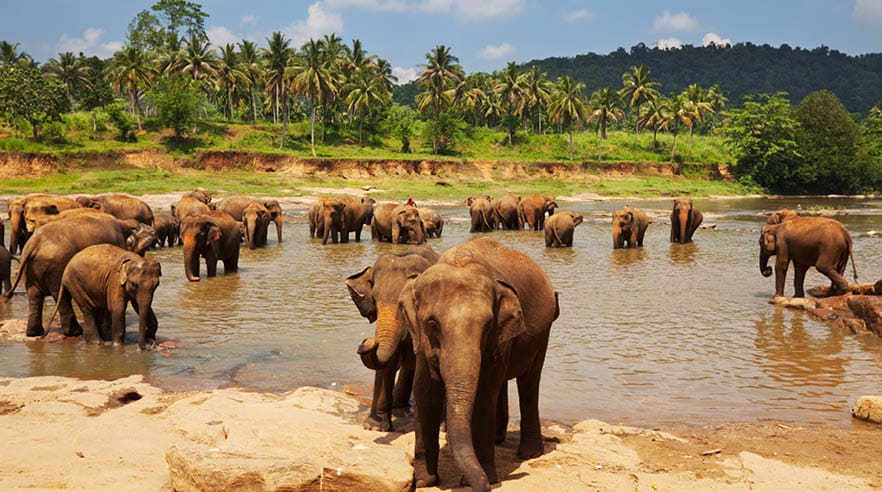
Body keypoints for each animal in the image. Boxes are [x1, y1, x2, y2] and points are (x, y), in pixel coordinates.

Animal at [2, 215, 156, 337]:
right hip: (56, 267)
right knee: (61, 295)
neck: (123, 223)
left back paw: (34, 333)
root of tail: (34, 243)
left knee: (34, 296)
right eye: (142, 250)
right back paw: (75, 332)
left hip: (31, 269)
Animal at [346, 245, 439, 431]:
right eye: (374, 299)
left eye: (404, 304)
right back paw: (399, 408)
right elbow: (386, 365)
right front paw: (375, 427)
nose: (368, 340)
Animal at [400, 237, 559, 490]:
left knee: (529, 383)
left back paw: (529, 454)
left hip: (543, 333)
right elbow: (425, 392)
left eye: (487, 325)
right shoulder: (422, 341)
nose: (476, 484)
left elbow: (484, 394)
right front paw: (426, 480)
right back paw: (499, 440)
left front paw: (486, 478)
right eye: (432, 323)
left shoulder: (498, 338)